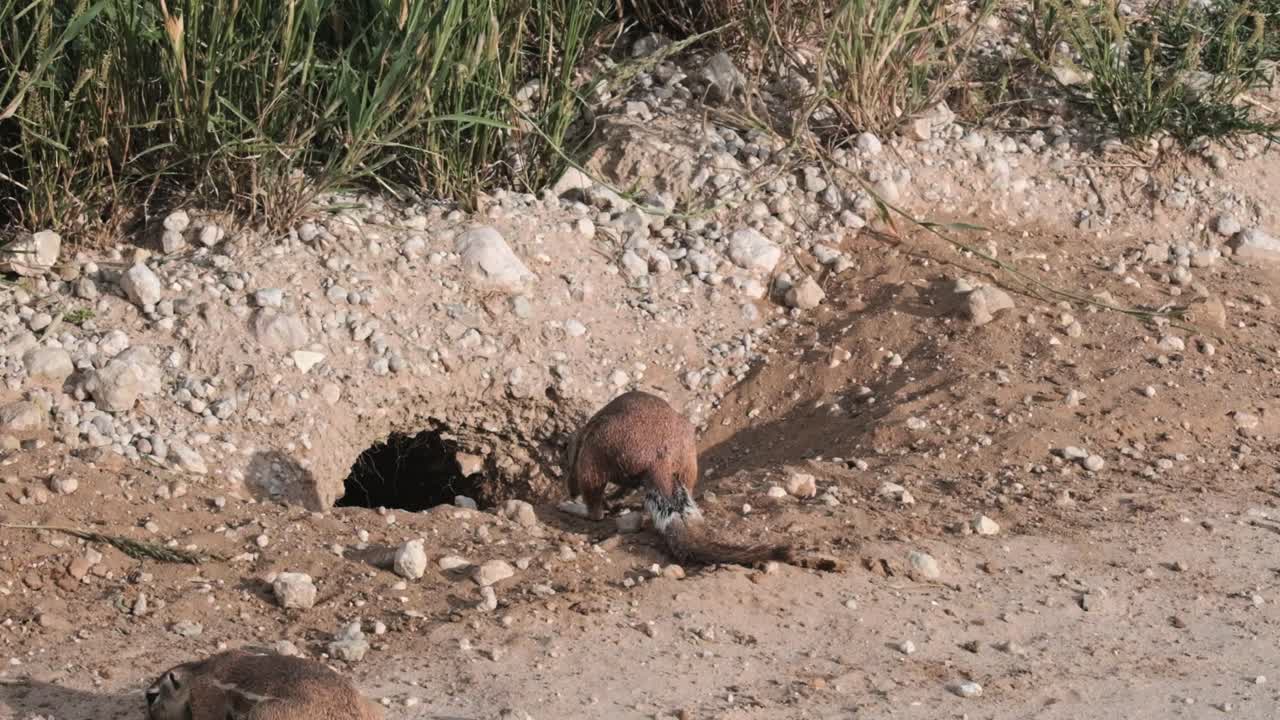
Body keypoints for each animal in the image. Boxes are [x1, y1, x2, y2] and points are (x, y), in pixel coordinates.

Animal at [564, 390, 794, 566]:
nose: (570, 490)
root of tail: (659, 460)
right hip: (687, 463)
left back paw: (574, 507)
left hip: (594, 454)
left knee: (594, 508)